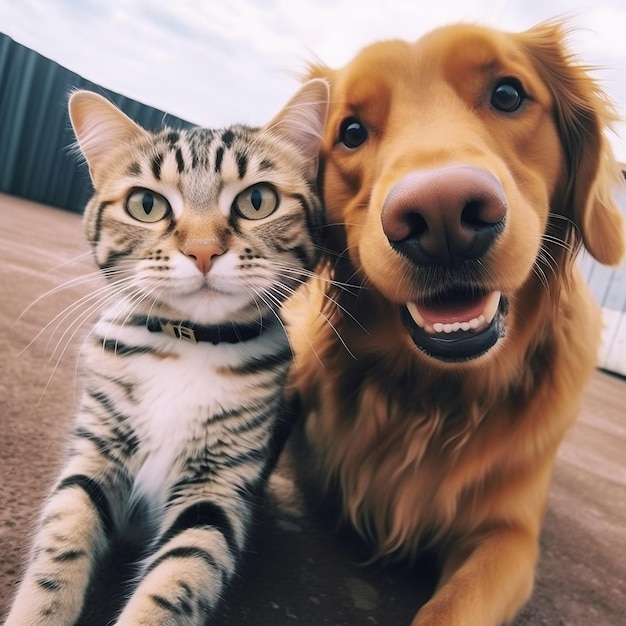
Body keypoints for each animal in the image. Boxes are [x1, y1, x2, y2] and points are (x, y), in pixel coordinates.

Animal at [4, 79, 330, 624]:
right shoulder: (97, 450)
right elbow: (62, 537)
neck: (188, 344)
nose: (202, 251)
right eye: (146, 205)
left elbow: (182, 572)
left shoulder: (217, 487)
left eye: (257, 199)